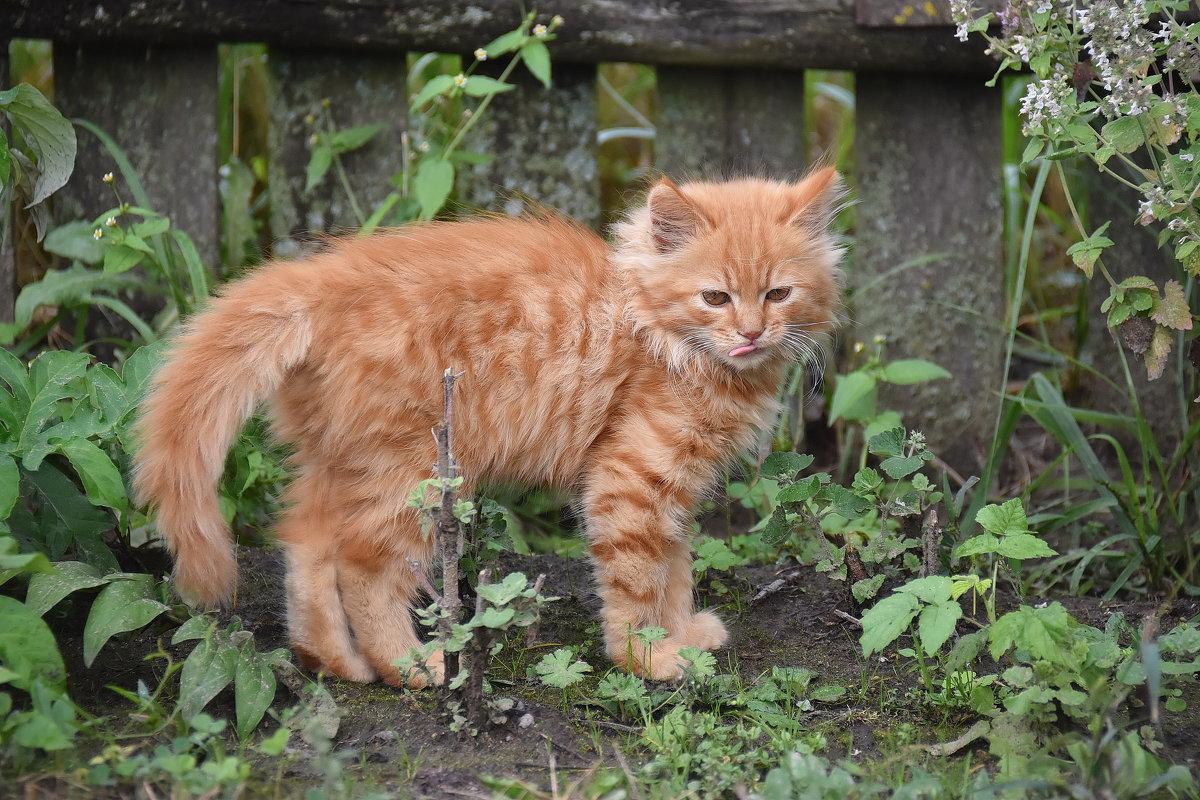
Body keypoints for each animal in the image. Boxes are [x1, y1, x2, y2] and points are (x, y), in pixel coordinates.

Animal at [131, 169, 844, 690]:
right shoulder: (631, 480)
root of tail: (322, 281)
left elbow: (675, 570)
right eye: (715, 298)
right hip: (416, 472)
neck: (660, 336)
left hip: (343, 460)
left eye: (778, 294)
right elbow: (638, 581)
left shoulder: (675, 492)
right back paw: (412, 668)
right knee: (362, 564)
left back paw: (335, 663)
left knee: (306, 542)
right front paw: (646, 659)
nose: (751, 333)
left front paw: (681, 637)